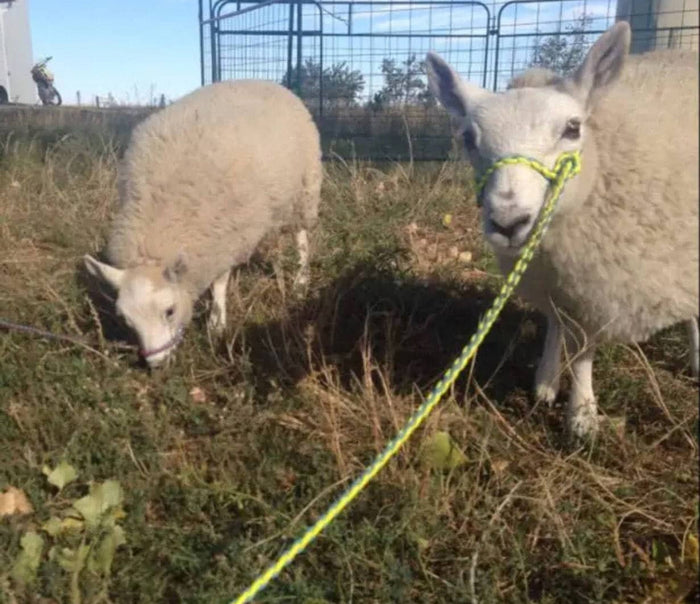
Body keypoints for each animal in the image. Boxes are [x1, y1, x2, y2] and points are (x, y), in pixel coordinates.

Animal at [83, 79, 322, 368]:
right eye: (126, 320)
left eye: (170, 311)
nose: (156, 363)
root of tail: (264, 81)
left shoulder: (225, 237)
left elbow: (219, 283)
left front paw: (217, 325)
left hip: (305, 189)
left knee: (301, 237)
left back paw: (300, 280)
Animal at [425, 22, 699, 439]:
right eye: (469, 138)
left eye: (573, 128)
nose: (508, 222)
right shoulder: (553, 277)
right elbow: (555, 321)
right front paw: (546, 383)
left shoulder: (597, 287)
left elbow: (584, 351)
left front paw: (582, 416)